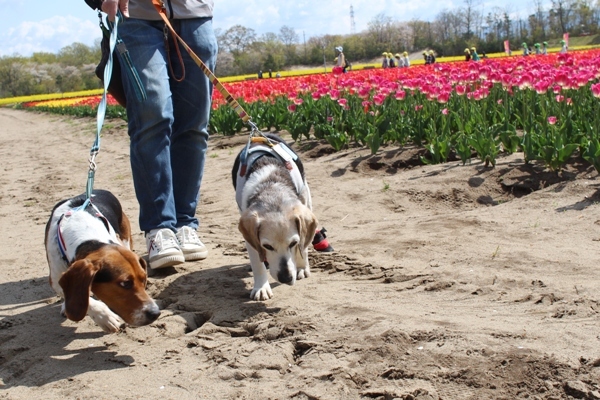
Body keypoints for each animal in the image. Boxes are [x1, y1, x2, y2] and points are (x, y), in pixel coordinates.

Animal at [44, 189, 161, 332]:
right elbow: (86, 300)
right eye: (125, 283)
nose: (156, 313)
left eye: (144, 279)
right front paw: (105, 317)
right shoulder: (55, 280)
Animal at [232, 134, 318, 300]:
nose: (286, 278)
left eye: (293, 243)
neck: (272, 189)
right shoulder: (250, 236)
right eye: (268, 246)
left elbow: (302, 247)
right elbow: (257, 262)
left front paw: (301, 266)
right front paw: (261, 287)